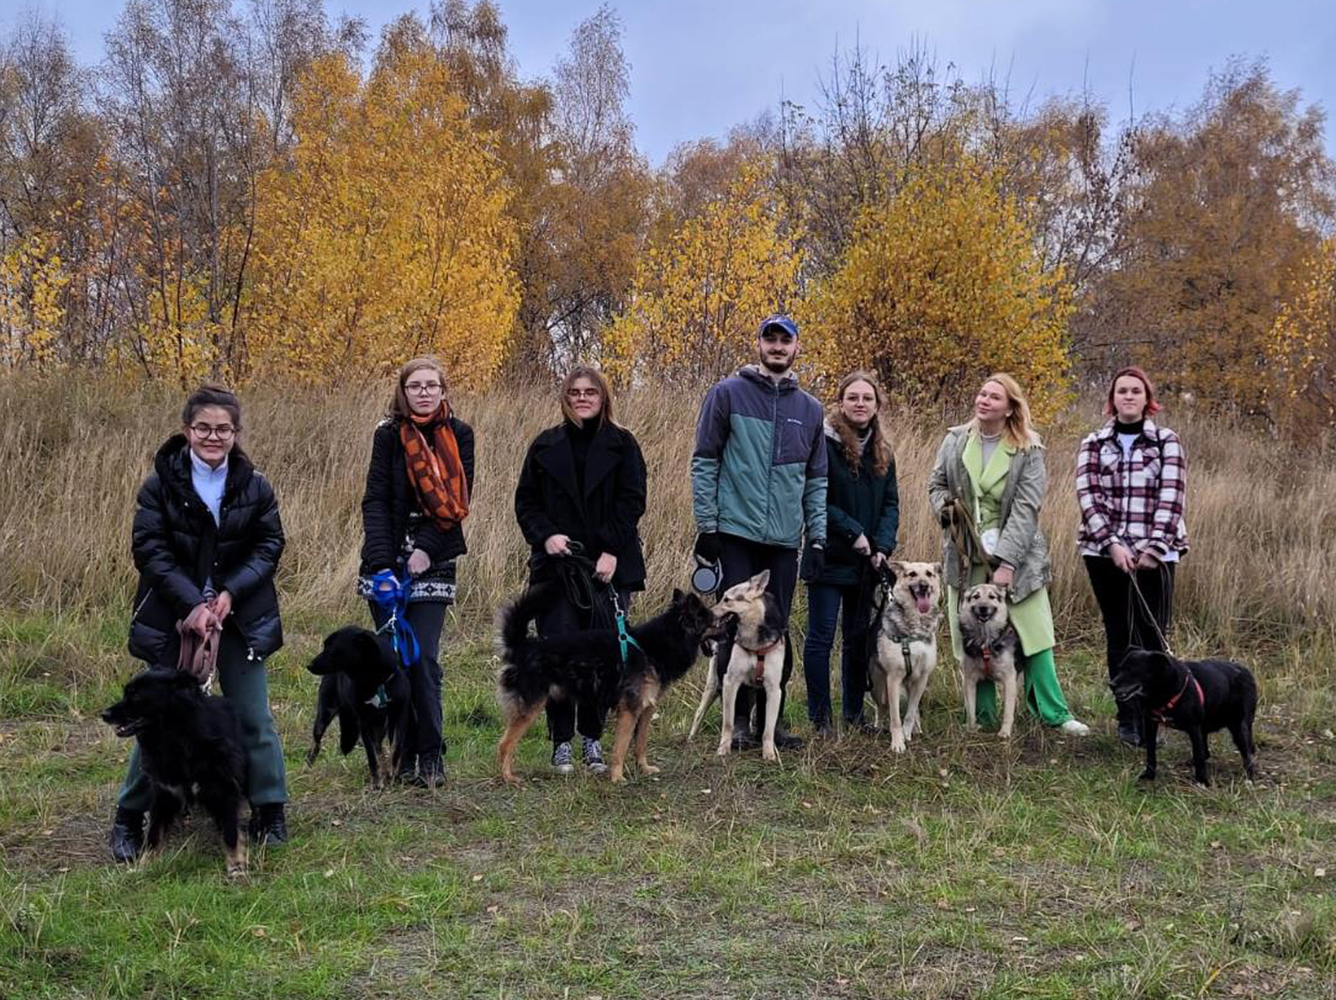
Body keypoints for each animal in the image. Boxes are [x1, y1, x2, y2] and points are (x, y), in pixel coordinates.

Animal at [100, 670, 247, 875]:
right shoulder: (164, 791)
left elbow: (230, 832)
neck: (176, 739)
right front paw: (145, 864)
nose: (104, 714)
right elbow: (154, 833)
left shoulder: (223, 789)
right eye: (126, 693)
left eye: (136, 695)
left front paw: (236, 865)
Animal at [305, 624, 408, 790]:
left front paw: (392, 777)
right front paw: (377, 783)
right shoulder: (365, 722)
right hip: (325, 713)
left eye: (332, 648)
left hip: (380, 726)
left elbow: (395, 749)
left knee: (380, 748)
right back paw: (307, 767)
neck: (374, 680)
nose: (309, 665)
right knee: (316, 743)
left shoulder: (399, 717)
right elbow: (372, 757)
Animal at [494, 582, 721, 785]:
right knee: (504, 745)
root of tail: (523, 646)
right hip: (529, 709)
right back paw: (508, 778)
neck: (659, 644)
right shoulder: (629, 710)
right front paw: (617, 778)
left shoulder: (646, 709)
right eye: (715, 623)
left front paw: (644, 768)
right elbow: (621, 748)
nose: (728, 631)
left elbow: (640, 744)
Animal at [694, 574, 785, 758]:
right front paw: (723, 748)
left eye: (727, 599)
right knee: (699, 712)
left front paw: (769, 753)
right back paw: (690, 739)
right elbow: (728, 723)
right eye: (722, 596)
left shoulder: (773, 689)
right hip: (714, 685)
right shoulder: (730, 682)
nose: (707, 613)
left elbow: (768, 728)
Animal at [1111, 648, 1255, 790]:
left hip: (1237, 726)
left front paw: (1202, 781)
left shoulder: (1194, 727)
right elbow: (1151, 753)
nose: (1111, 684)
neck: (1163, 691)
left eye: (1132, 670)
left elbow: (1198, 756)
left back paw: (1249, 779)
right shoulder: (1151, 723)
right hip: (1206, 726)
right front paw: (1149, 774)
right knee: (1207, 752)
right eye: (1120, 668)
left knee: (1247, 754)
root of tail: (1244, 670)